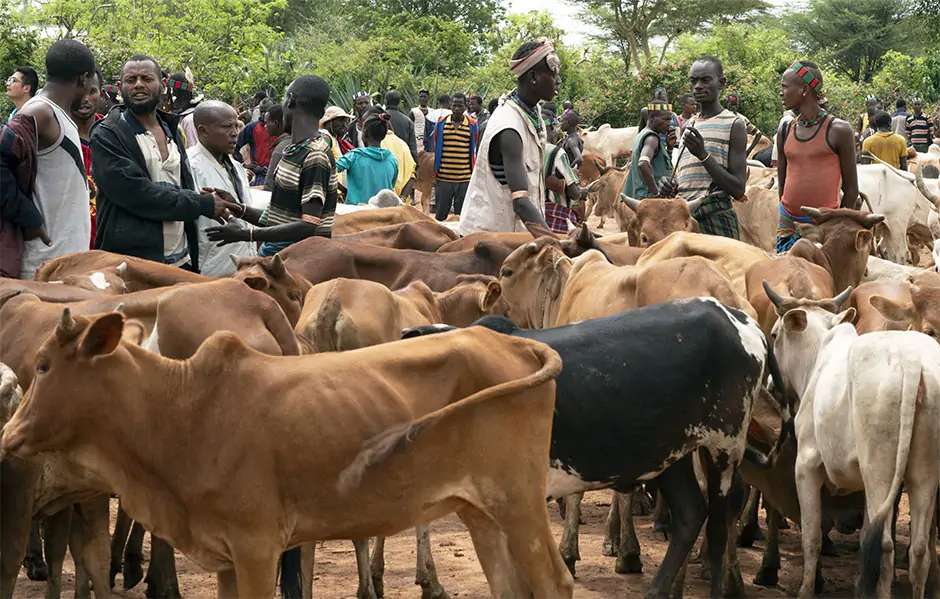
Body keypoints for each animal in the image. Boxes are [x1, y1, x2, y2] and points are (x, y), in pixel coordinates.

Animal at [1, 316, 572, 596]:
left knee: (553, 581)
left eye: (45, 365)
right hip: (481, 512)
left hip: (519, 503)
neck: (180, 409)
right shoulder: (227, 555)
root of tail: (515, 343)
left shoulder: (257, 546)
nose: (8, 434)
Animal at [764, 284, 940, 596]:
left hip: (879, 472)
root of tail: (912, 362)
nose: (773, 384)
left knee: (885, 547)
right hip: (924, 475)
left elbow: (812, 537)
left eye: (774, 335)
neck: (818, 357)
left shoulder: (806, 466)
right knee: (919, 551)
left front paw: (806, 590)